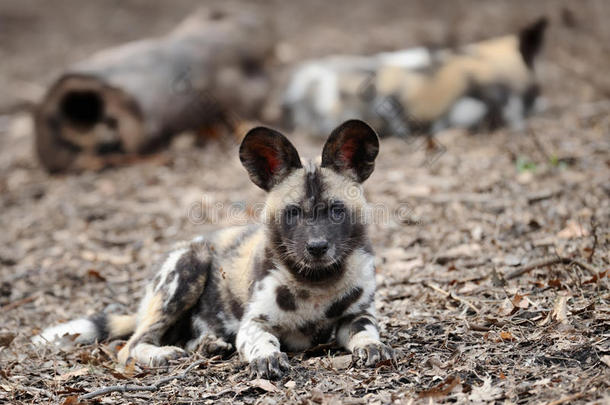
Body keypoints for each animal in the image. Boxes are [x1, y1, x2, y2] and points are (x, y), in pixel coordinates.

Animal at [34, 118, 394, 378]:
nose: (317, 247)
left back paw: (207, 345)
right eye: (293, 213)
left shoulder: (358, 315)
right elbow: (262, 342)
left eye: (336, 210)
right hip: (188, 267)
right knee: (130, 346)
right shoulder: (253, 324)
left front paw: (372, 347)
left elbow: (366, 332)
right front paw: (267, 357)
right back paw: (163, 354)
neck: (315, 284)